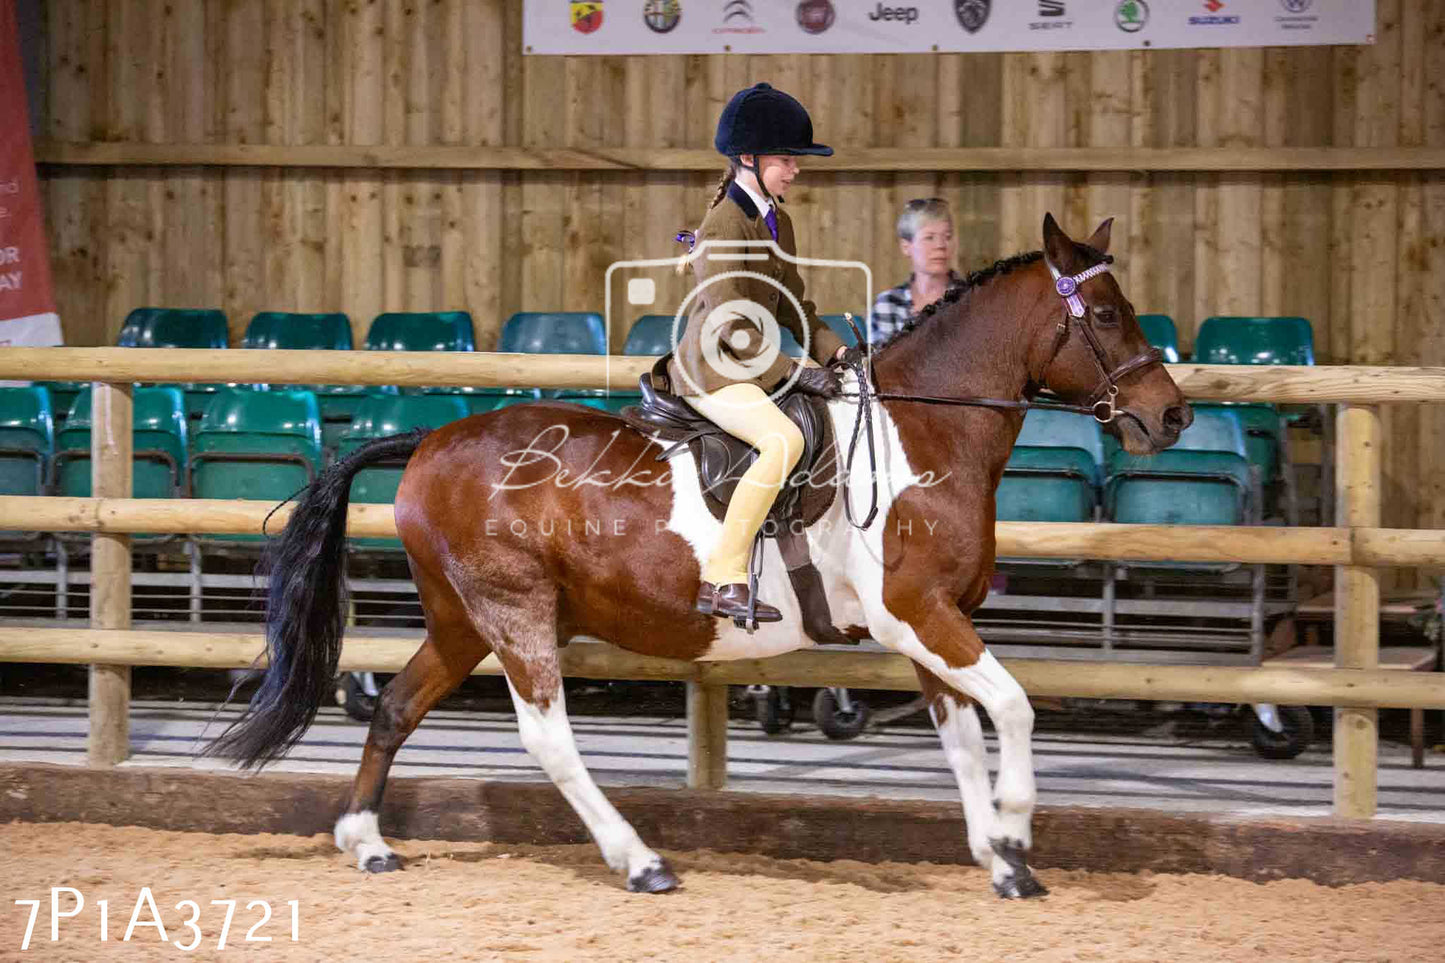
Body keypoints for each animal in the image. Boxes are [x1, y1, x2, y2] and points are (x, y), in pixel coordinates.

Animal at [206, 209, 1196, 890]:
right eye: (1107, 313)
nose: (1173, 416)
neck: (924, 432)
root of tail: (428, 440)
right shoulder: (917, 613)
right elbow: (1017, 709)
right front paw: (1018, 834)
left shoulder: (931, 625)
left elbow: (960, 739)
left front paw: (999, 858)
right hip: (512, 609)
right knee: (546, 736)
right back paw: (639, 859)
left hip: (460, 618)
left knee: (395, 708)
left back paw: (367, 840)